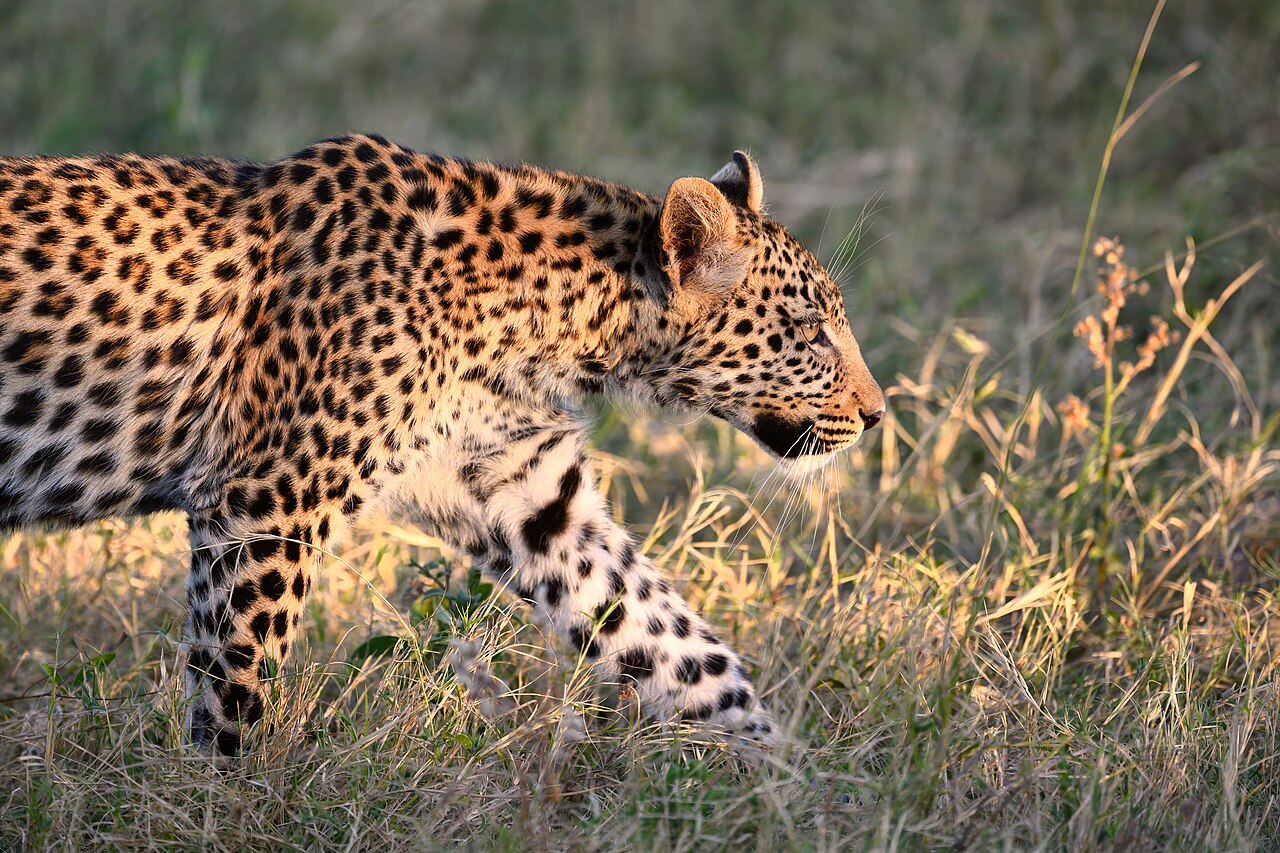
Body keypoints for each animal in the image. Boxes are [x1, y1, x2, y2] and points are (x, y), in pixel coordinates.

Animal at [0, 134, 884, 756]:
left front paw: (796, 780)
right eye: (811, 331)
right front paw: (224, 798)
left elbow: (673, 642)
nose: (878, 416)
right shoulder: (265, 499)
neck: (552, 319)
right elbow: (238, 677)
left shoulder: (526, 492)